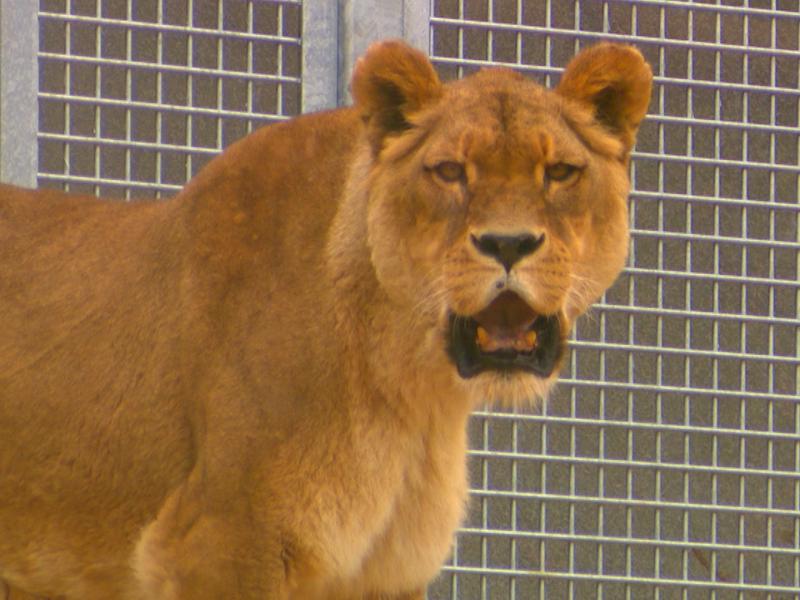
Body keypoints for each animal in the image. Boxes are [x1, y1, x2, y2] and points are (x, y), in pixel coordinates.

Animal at [0, 40, 651, 599]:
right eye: (449, 171)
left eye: (560, 172)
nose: (508, 243)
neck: (412, 391)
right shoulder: (219, 541)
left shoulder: (385, 573)